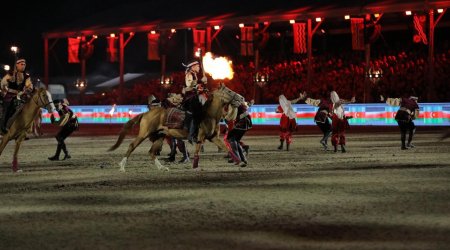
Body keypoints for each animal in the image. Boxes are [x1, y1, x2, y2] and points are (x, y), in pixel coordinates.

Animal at [107, 83, 244, 171]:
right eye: (229, 91)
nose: (241, 98)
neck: (209, 115)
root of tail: (146, 113)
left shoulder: (214, 137)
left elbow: (227, 148)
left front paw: (240, 162)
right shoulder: (200, 137)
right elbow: (197, 151)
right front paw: (195, 166)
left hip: (160, 136)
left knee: (151, 152)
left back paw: (162, 167)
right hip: (144, 134)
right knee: (132, 146)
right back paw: (122, 167)